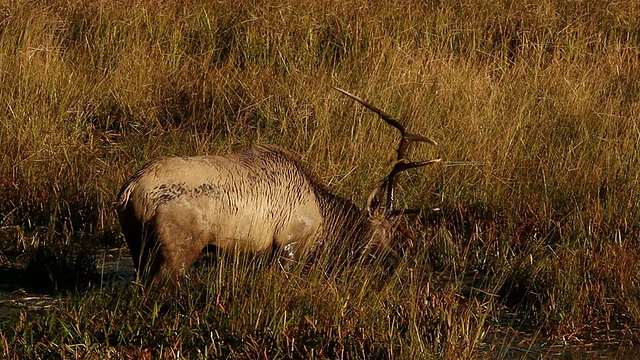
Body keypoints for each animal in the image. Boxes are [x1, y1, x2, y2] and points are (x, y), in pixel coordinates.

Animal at [116, 88, 440, 288]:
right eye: (384, 232)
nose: (395, 261)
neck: (324, 221)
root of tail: (130, 190)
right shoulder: (289, 245)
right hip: (179, 247)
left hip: (137, 243)